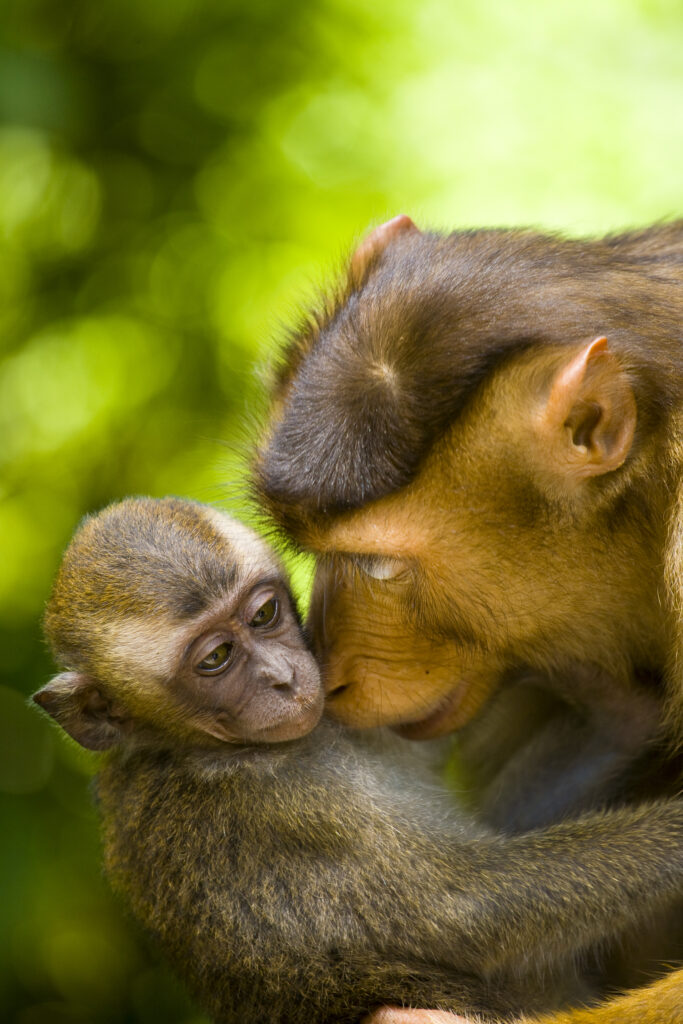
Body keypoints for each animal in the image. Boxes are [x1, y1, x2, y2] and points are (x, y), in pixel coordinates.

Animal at [34, 497, 683, 1024]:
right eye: (216, 657)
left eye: (263, 615)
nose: (281, 678)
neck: (191, 748)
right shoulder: (283, 806)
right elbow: (463, 909)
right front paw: (674, 834)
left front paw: (620, 709)